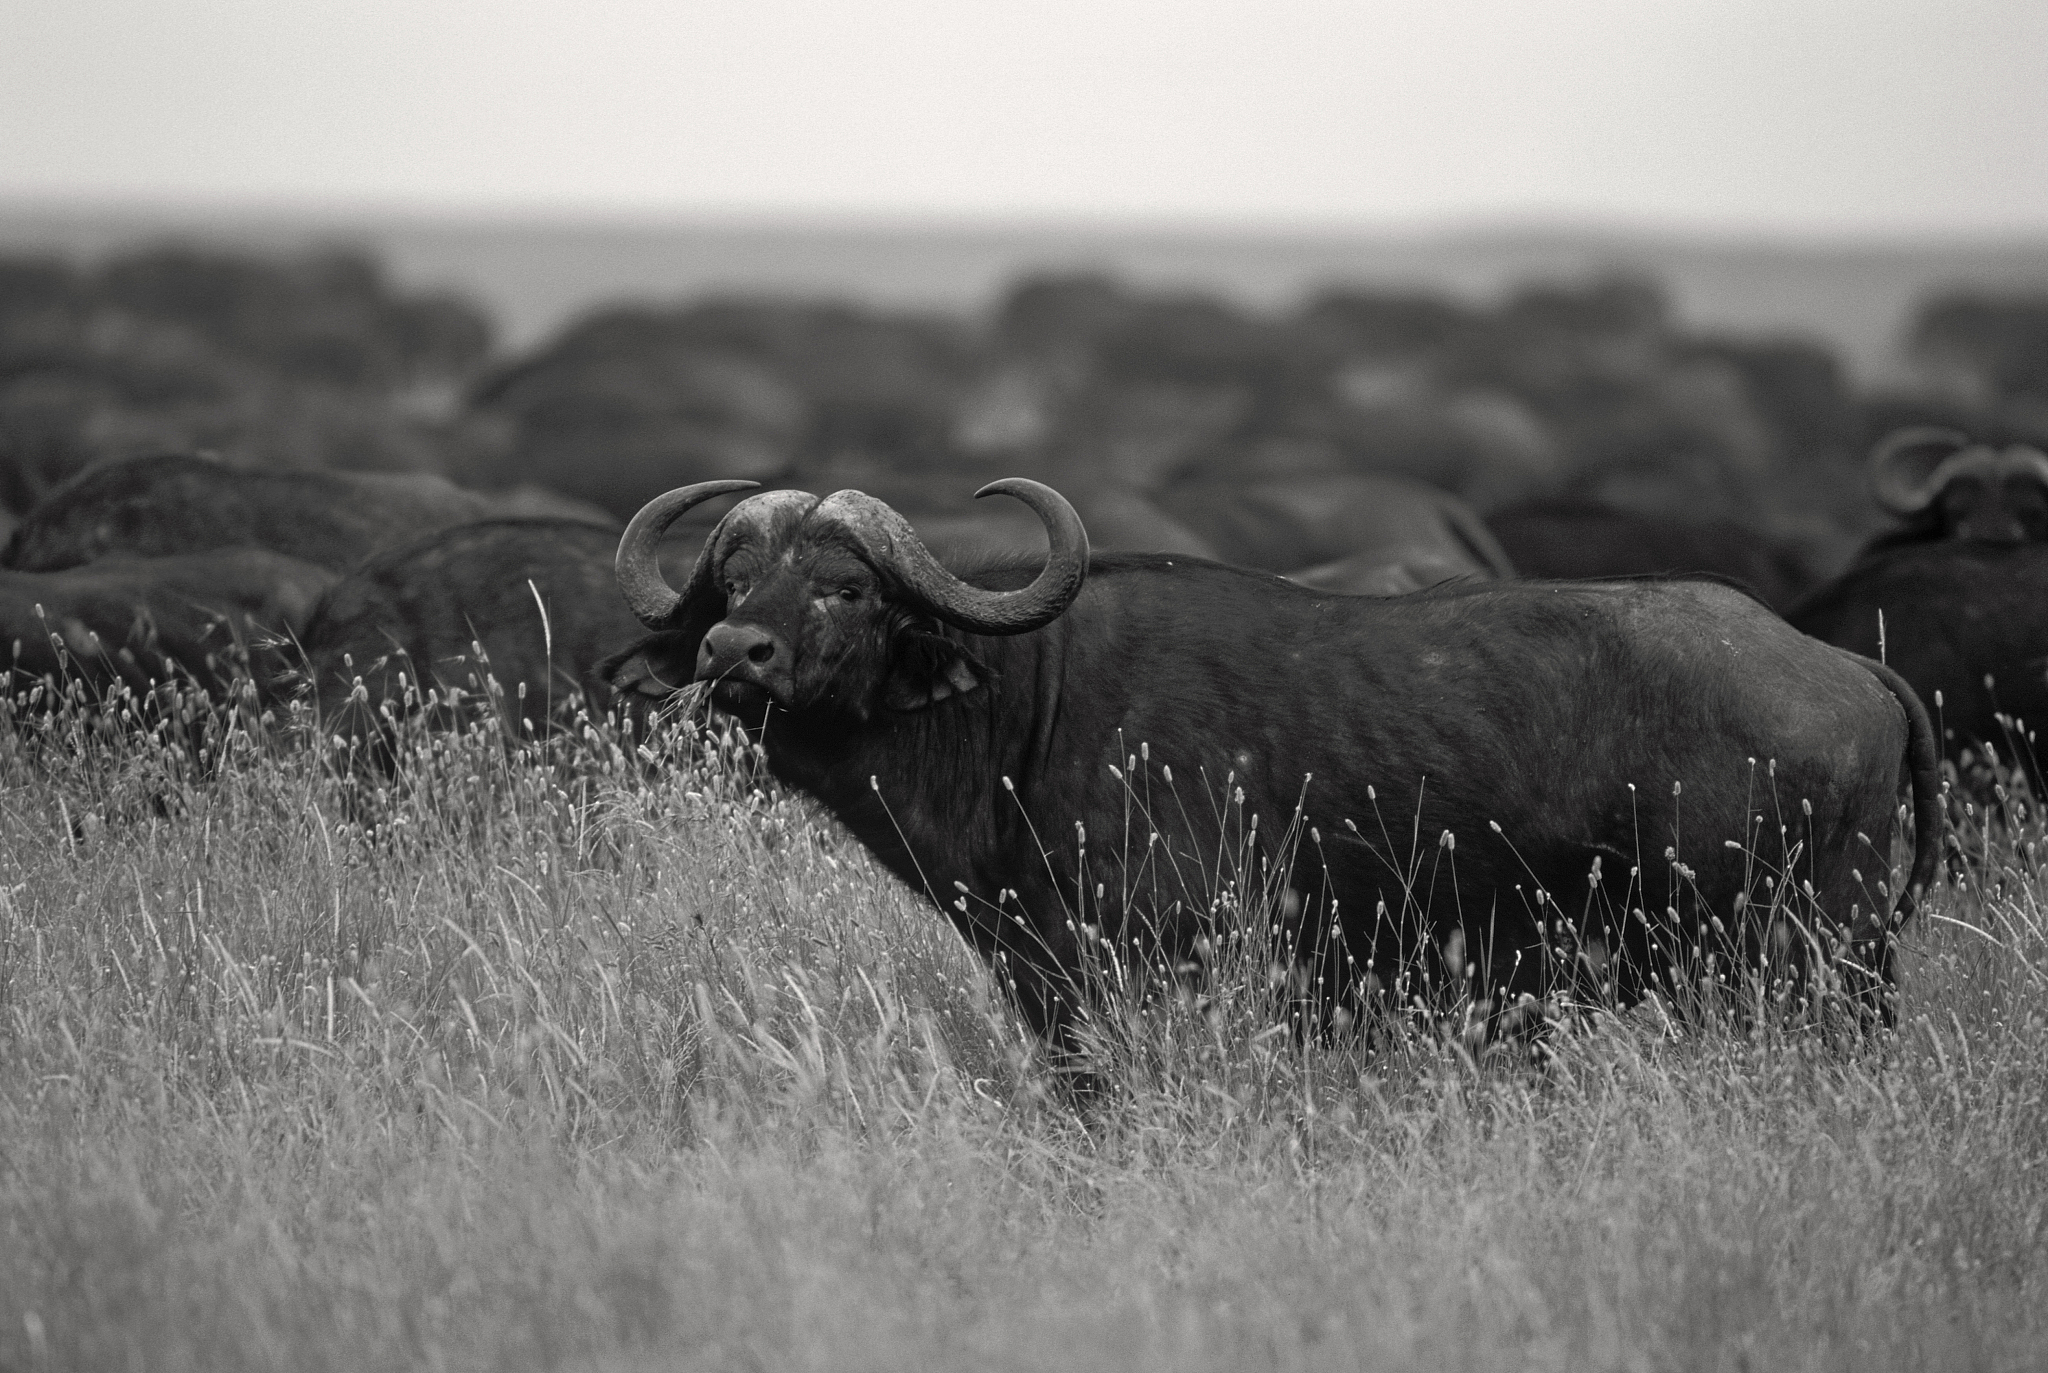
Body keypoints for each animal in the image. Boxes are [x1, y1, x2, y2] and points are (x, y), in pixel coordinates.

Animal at [604, 479, 1940, 1057]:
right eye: (732, 578)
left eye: (845, 584)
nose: (731, 652)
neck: (1029, 712)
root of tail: (1846, 668)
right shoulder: (1046, 975)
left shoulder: (1160, 963)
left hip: (1797, 954)